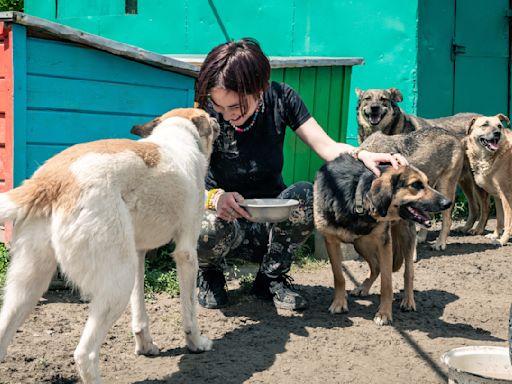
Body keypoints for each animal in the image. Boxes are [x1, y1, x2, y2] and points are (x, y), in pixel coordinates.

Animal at [0, 106, 218, 382]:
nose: (219, 120)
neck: (178, 135)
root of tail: (51, 179)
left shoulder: (138, 253)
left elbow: (139, 314)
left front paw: (145, 347)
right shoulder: (187, 252)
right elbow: (190, 312)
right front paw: (197, 344)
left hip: (28, 287)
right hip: (117, 284)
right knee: (85, 354)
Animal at [312, 154, 452, 326]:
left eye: (426, 183)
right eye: (416, 185)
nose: (448, 203)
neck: (356, 194)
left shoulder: (384, 242)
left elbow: (387, 283)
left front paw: (384, 313)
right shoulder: (331, 241)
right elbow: (339, 276)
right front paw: (339, 303)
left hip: (405, 237)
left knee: (408, 272)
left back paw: (408, 301)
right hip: (361, 243)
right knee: (376, 266)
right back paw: (363, 288)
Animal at [464, 114, 512, 246]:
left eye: (499, 126)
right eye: (485, 124)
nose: (497, 133)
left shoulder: (507, 196)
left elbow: (507, 221)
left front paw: (503, 240)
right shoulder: (498, 196)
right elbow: (500, 219)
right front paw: (495, 235)